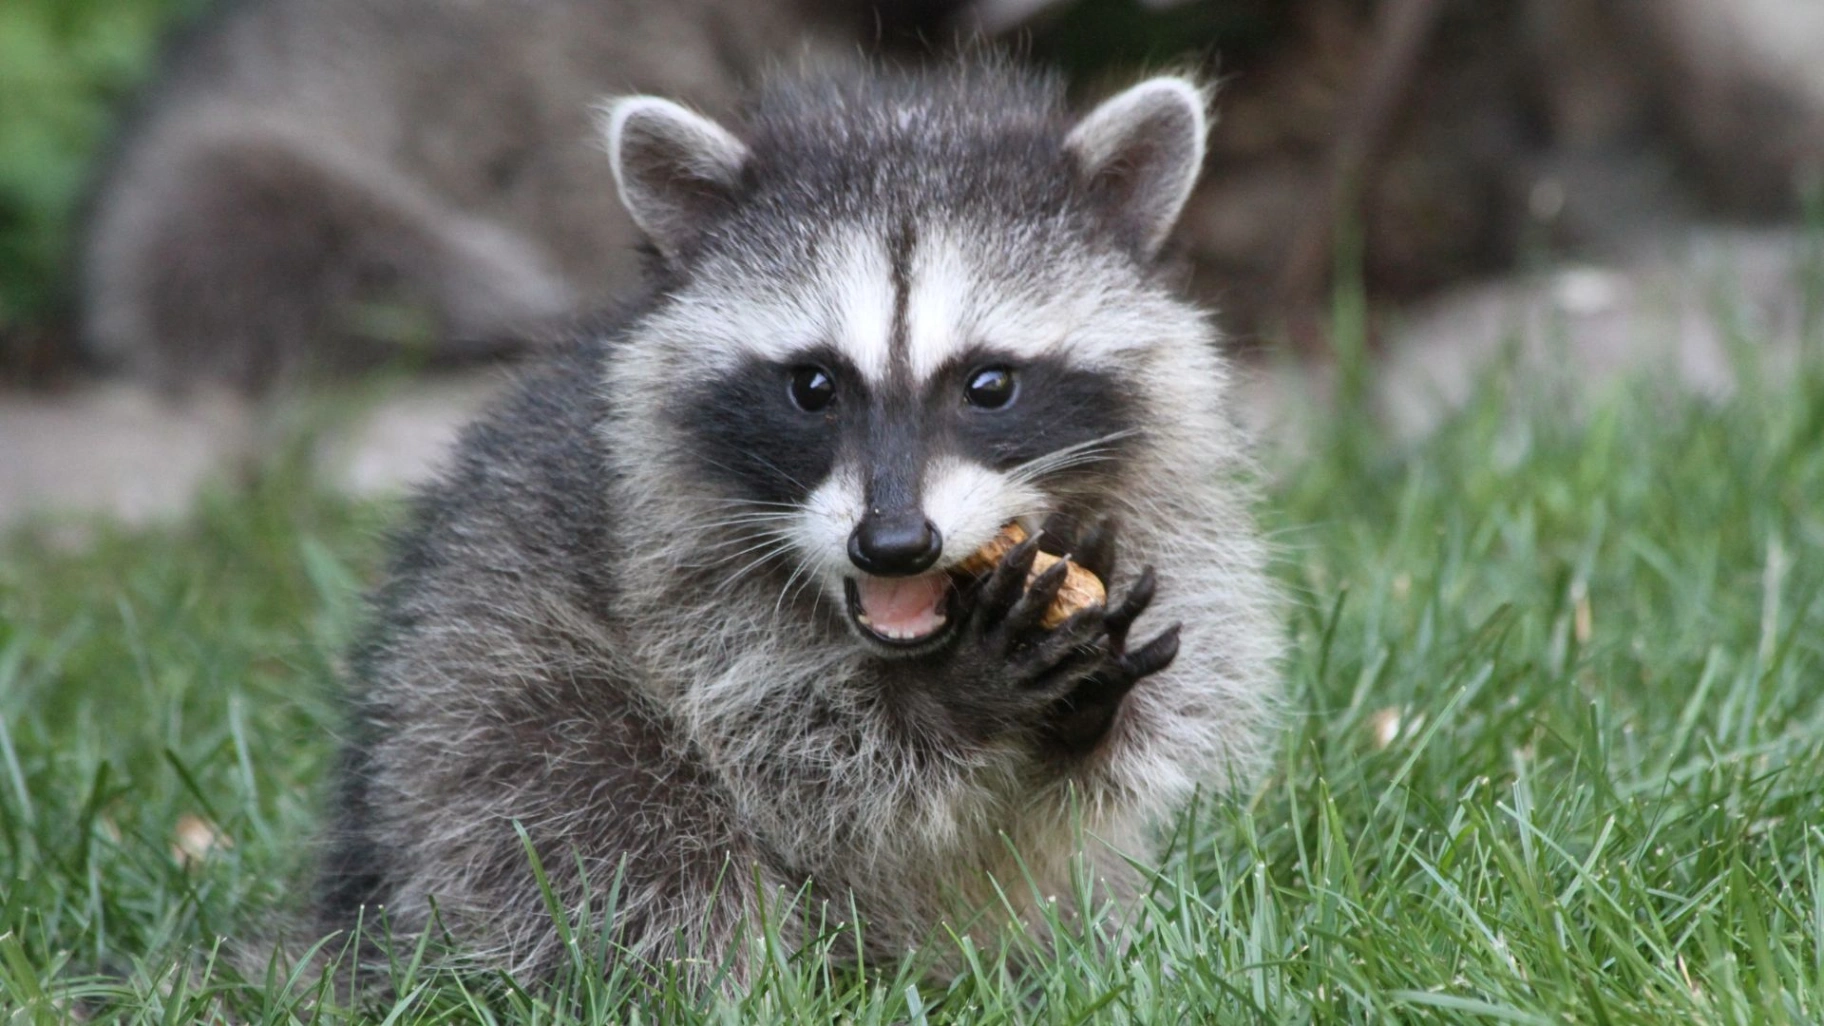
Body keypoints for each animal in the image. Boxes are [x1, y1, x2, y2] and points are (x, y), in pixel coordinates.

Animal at [317, 61, 1281, 984]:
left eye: (990, 384)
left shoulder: (1163, 508)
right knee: (621, 828)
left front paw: (1092, 694)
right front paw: (954, 699)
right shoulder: (662, 569)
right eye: (813, 386)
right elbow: (796, 753)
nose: (894, 545)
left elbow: (1159, 715)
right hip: (474, 717)